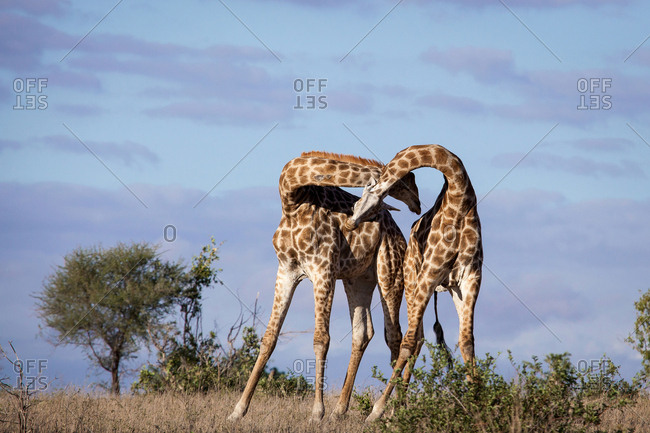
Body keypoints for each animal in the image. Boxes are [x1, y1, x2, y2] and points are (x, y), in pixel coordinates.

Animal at [227, 151, 421, 423]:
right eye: (406, 181)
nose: (418, 203)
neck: (292, 196)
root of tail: (399, 233)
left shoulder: (323, 269)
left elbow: (321, 339)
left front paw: (317, 412)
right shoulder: (286, 270)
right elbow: (269, 337)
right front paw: (238, 410)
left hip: (390, 274)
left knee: (395, 336)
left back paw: (393, 411)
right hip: (358, 279)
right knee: (363, 333)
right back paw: (341, 410)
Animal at [345, 144, 483, 422]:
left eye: (359, 201)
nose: (350, 223)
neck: (460, 198)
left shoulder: (470, 278)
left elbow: (467, 341)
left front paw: (478, 407)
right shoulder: (429, 274)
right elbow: (407, 343)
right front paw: (377, 411)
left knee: (419, 337)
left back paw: (402, 405)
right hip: (412, 282)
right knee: (413, 337)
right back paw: (398, 406)